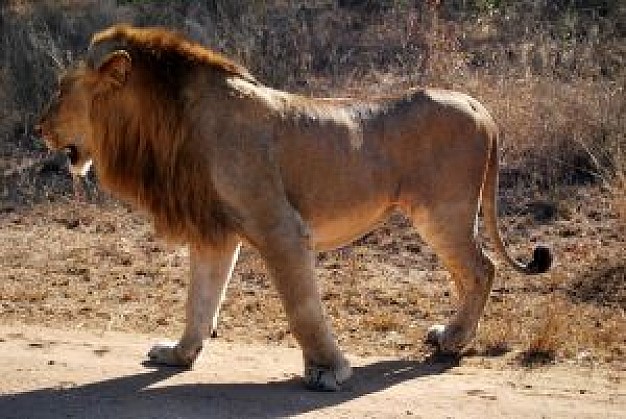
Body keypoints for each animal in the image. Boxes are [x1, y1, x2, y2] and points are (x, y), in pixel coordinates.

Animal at [36, 25, 548, 394]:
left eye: (59, 90)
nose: (39, 128)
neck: (166, 126)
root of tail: (477, 104)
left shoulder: (281, 228)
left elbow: (301, 308)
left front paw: (327, 370)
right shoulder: (214, 232)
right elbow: (199, 301)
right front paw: (179, 355)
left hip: (442, 212)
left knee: (482, 270)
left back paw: (453, 341)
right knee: (471, 273)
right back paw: (450, 336)